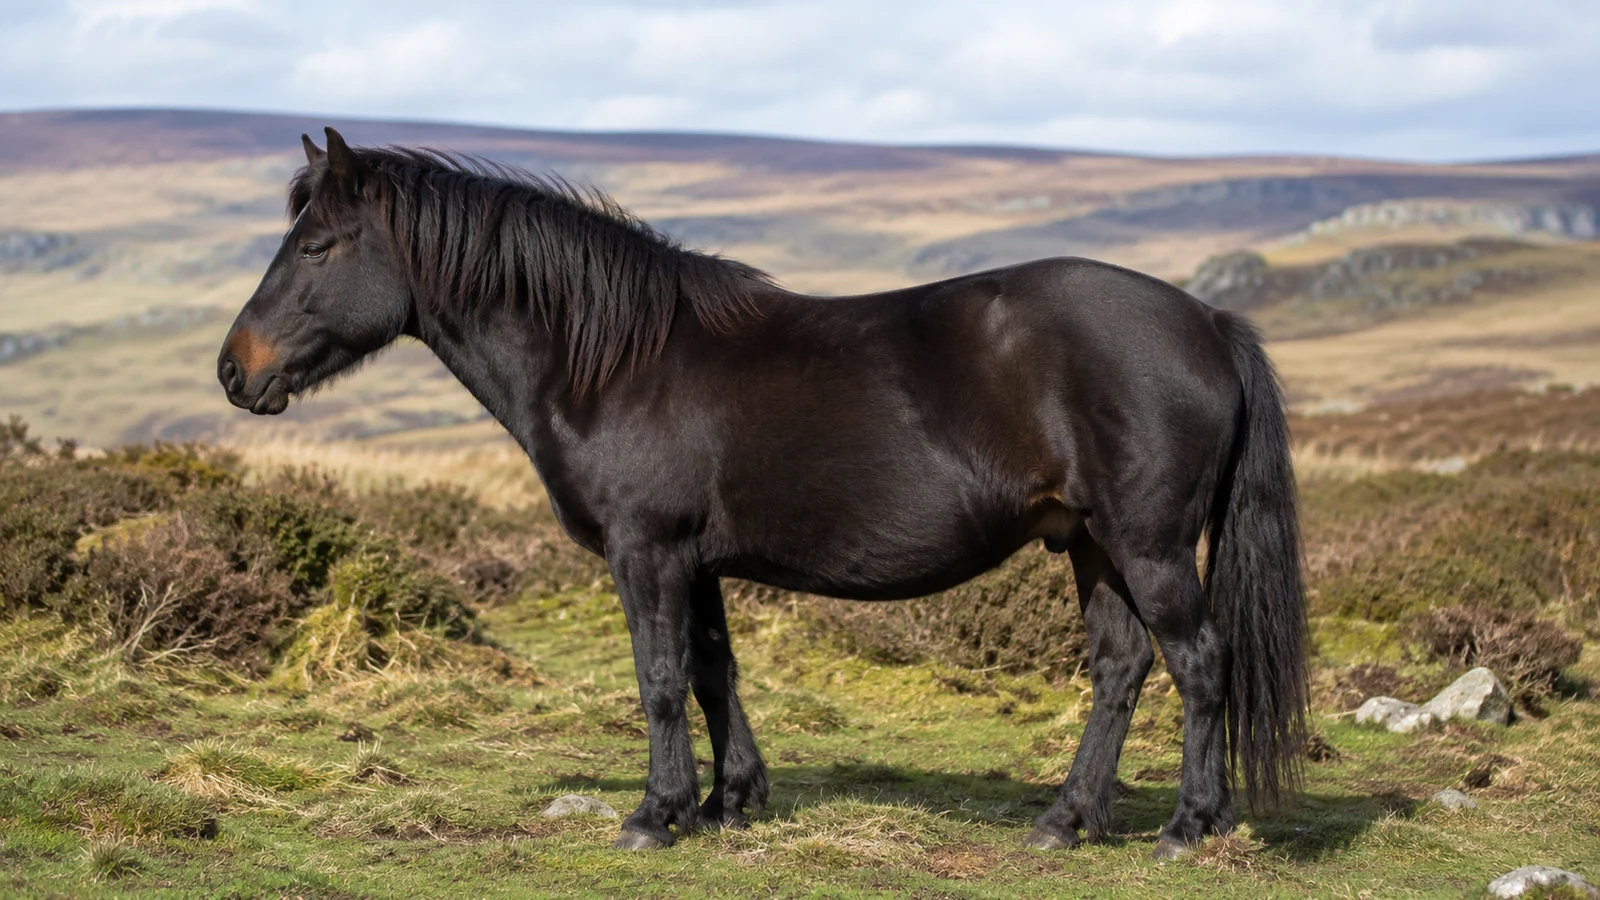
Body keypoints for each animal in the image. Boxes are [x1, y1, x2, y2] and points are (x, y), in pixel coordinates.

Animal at [219, 127, 1308, 858]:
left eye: (317, 246)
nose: (235, 371)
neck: (614, 360)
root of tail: (1207, 320)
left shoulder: (646, 551)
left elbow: (659, 679)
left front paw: (654, 816)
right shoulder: (694, 560)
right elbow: (712, 672)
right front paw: (727, 801)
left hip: (1148, 545)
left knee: (1200, 663)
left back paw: (1189, 826)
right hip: (1090, 544)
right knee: (1122, 667)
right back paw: (1066, 819)